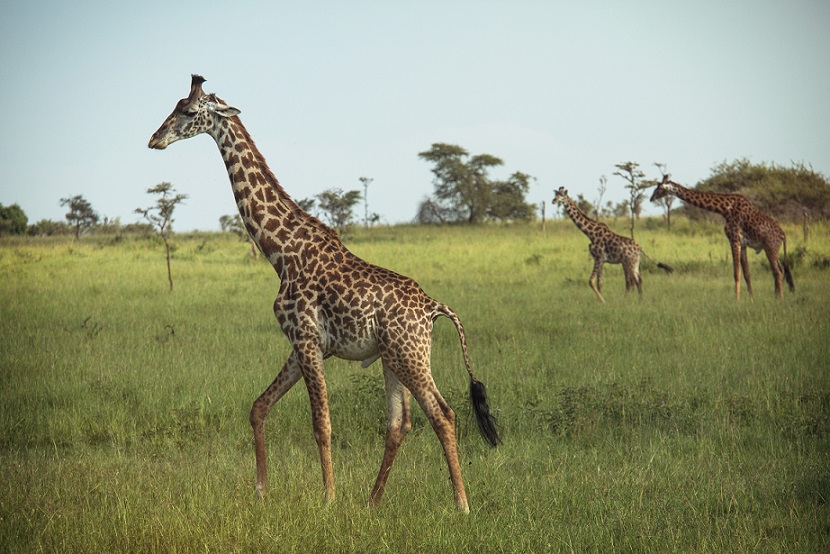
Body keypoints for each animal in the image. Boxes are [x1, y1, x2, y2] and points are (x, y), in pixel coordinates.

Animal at [148, 75, 499, 513]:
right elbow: (259, 407)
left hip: (410, 355)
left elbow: (322, 423)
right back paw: (372, 501)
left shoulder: (306, 339)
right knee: (399, 423)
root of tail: (434, 308)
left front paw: (328, 498)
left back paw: (461, 504)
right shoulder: (305, 343)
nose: (155, 139)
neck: (280, 251)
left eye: (189, 111)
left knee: (443, 414)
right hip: (392, 359)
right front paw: (261, 491)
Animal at [651, 174, 794, 300]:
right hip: (772, 249)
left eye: (659, 188)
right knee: (778, 271)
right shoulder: (742, 244)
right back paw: (776, 298)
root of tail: (783, 234)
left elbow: (736, 273)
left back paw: (779, 300)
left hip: (771, 247)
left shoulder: (734, 240)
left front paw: (736, 301)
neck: (725, 209)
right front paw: (751, 300)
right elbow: (747, 274)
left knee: (778, 272)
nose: (651, 198)